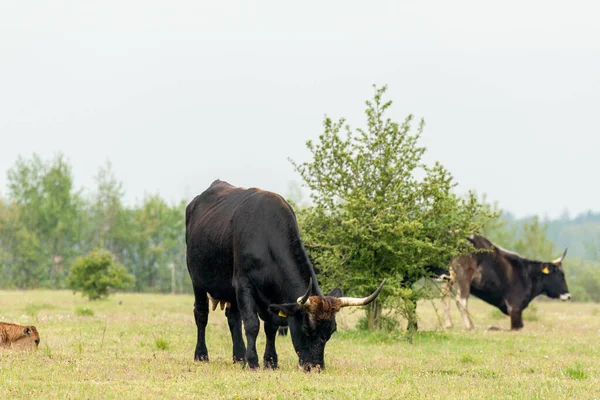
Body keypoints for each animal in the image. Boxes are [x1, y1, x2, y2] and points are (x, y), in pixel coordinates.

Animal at [184, 180, 384, 370]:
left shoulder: (271, 295)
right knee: (201, 314)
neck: (265, 235)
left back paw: (239, 357)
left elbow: (271, 326)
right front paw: (253, 362)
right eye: (306, 328)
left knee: (233, 318)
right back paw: (202, 355)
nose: (315, 367)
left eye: (331, 331)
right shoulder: (243, 285)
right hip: (197, 280)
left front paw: (270, 361)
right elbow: (252, 324)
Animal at [438, 236, 568, 330]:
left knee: (445, 295)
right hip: (464, 276)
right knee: (461, 299)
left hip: (448, 277)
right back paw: (470, 326)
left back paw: (448, 324)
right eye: (560, 275)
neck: (527, 274)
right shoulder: (515, 308)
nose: (568, 295)